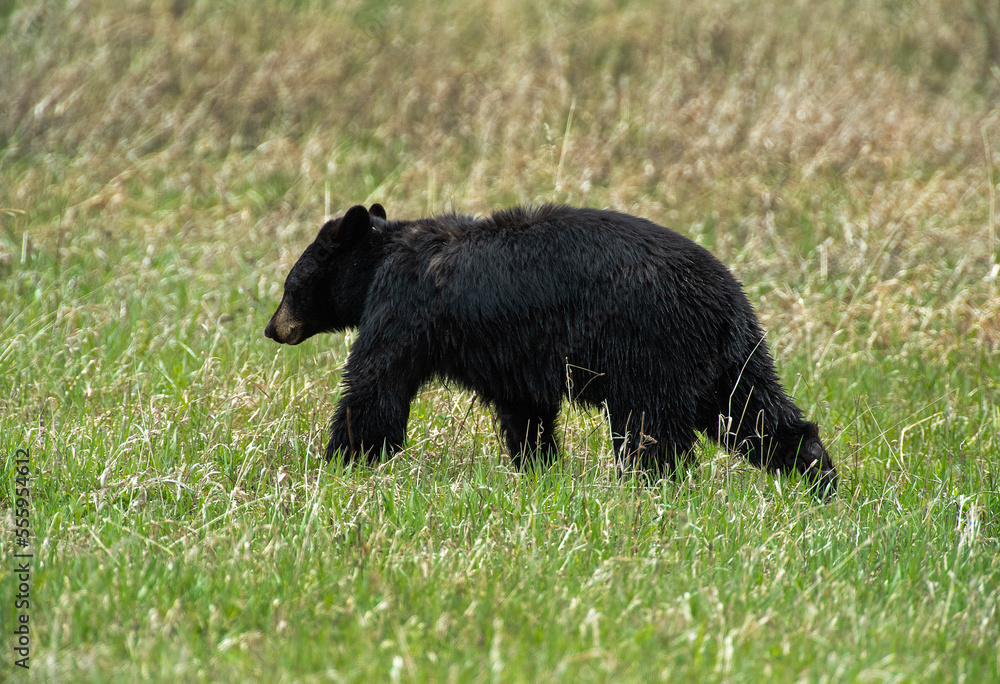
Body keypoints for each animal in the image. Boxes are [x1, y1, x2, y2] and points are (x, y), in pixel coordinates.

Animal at [265, 203, 837, 497]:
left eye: (291, 285)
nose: (273, 328)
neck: (381, 261)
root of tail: (726, 299)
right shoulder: (514, 358)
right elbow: (525, 409)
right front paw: (536, 464)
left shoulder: (404, 309)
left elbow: (376, 383)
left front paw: (344, 457)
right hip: (732, 358)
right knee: (757, 414)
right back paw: (819, 478)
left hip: (649, 349)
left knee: (650, 432)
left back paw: (646, 486)